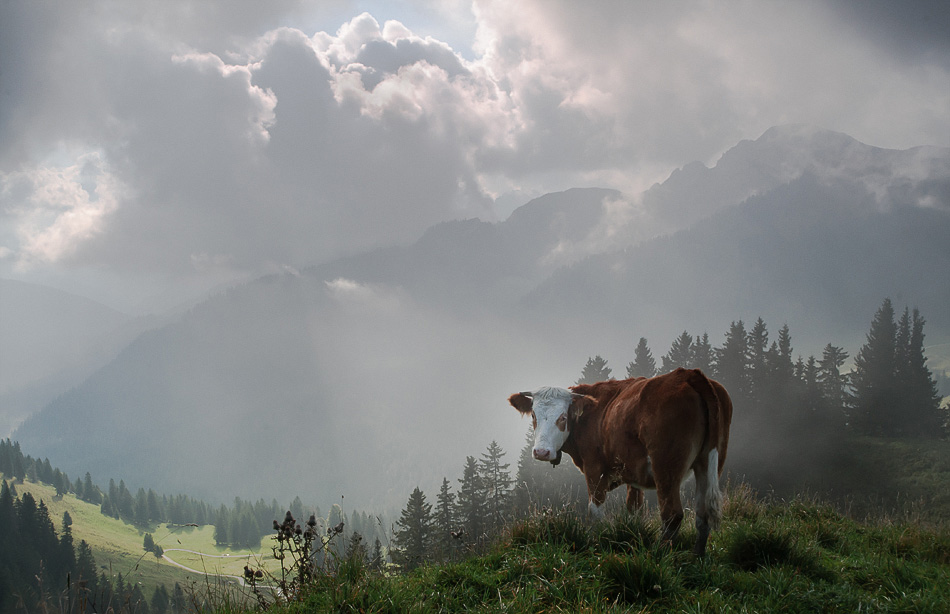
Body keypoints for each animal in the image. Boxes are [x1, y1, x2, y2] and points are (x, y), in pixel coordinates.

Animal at [508, 368, 732, 556]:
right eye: (534, 416)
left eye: (563, 417)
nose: (541, 452)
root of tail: (688, 374)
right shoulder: (635, 474)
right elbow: (634, 509)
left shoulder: (594, 468)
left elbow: (595, 511)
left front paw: (595, 544)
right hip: (709, 463)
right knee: (703, 512)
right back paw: (697, 557)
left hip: (666, 467)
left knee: (672, 514)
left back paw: (659, 554)